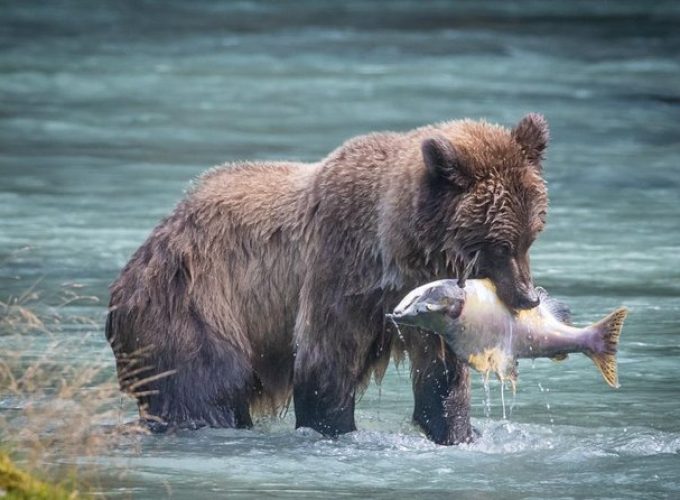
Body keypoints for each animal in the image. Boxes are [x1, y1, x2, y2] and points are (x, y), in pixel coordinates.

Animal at [107, 113, 552, 446]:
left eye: (530, 236)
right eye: (498, 245)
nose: (528, 296)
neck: (395, 251)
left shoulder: (432, 305)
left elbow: (441, 379)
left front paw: (458, 431)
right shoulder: (339, 272)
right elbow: (325, 364)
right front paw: (336, 429)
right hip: (195, 307)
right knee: (203, 389)